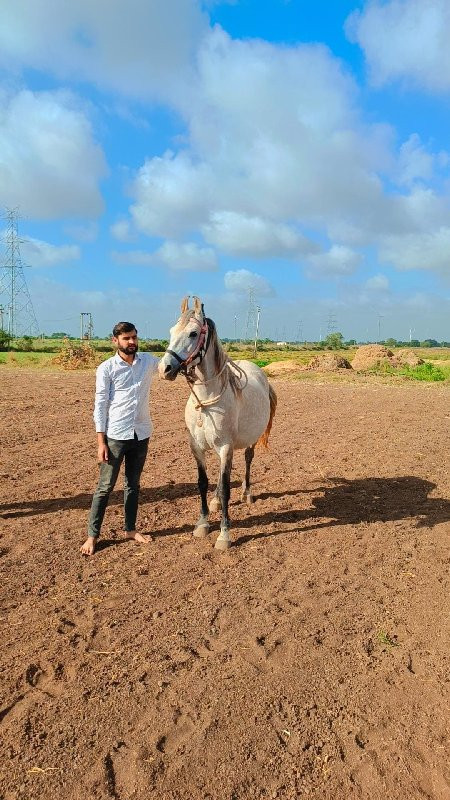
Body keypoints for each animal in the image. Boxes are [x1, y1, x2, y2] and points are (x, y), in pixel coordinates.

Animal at [158, 296, 278, 548]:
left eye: (193, 333)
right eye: (171, 331)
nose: (164, 368)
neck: (206, 403)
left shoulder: (226, 447)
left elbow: (225, 488)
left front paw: (224, 534)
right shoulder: (197, 447)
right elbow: (203, 482)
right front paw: (203, 523)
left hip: (249, 441)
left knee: (247, 461)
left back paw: (247, 493)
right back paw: (214, 502)